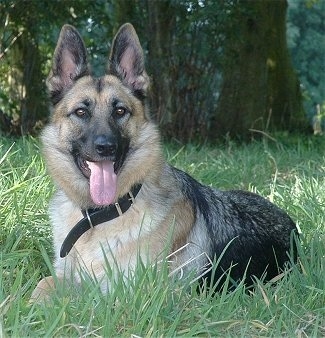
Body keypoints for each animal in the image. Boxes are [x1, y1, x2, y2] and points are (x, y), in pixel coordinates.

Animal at [31, 23, 296, 298]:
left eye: (120, 111)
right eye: (81, 112)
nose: (106, 147)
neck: (99, 216)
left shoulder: (130, 291)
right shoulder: (65, 276)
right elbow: (42, 285)